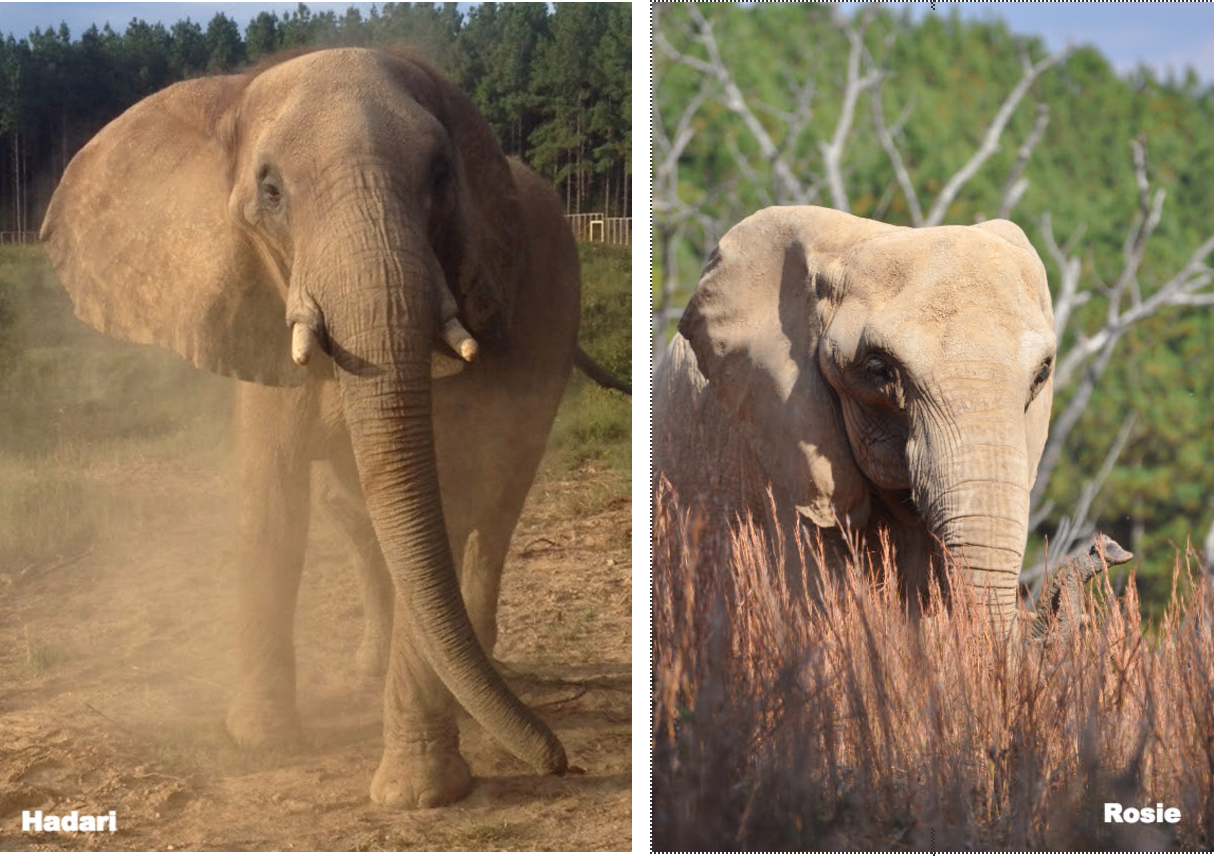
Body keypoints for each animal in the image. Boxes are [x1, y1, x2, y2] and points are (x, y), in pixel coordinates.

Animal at [39, 46, 582, 806]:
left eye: (440, 176)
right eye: (270, 190)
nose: (559, 762)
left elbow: (440, 508)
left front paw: (417, 796)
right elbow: (272, 504)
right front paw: (262, 743)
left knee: (494, 514)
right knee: (352, 512)